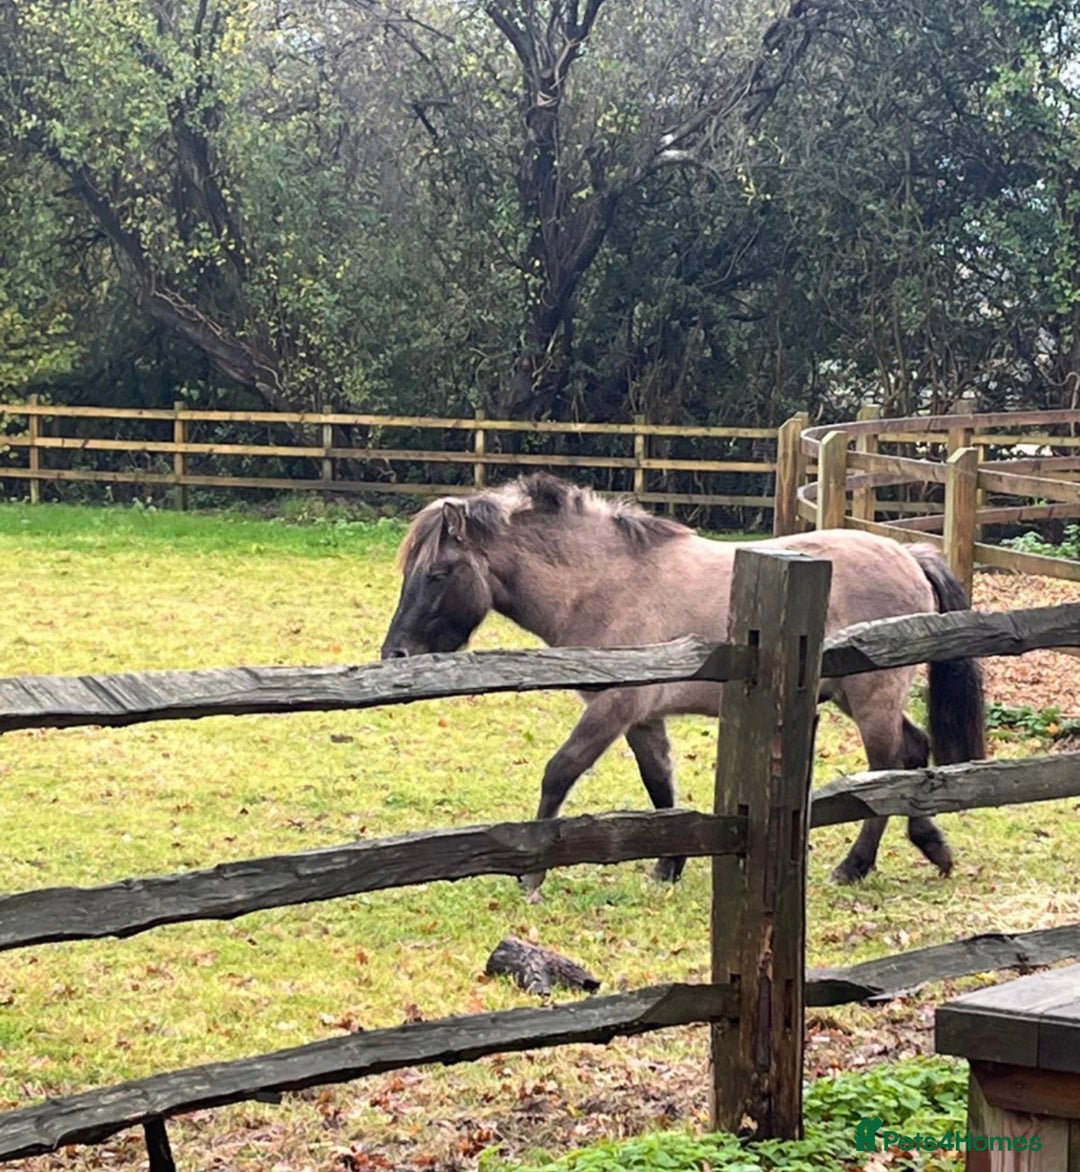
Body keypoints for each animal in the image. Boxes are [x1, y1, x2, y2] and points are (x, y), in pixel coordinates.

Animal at [381, 472, 985, 896]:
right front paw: (669, 864)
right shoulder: (644, 718)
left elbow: (560, 773)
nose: (395, 655)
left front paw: (533, 874)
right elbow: (660, 789)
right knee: (913, 752)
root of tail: (910, 554)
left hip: (870, 698)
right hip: (853, 697)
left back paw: (856, 865)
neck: (606, 583)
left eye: (437, 574)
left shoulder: (614, 709)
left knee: (886, 769)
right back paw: (931, 845)